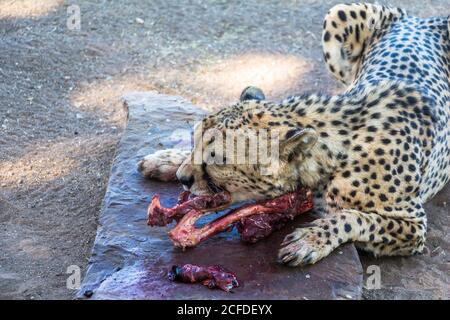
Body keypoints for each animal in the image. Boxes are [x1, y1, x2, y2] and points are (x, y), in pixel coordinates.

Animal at [139, 3, 448, 266]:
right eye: (196, 141)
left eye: (219, 159)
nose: (183, 178)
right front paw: (167, 159)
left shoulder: (413, 226)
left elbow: (352, 217)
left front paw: (311, 239)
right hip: (337, 14)